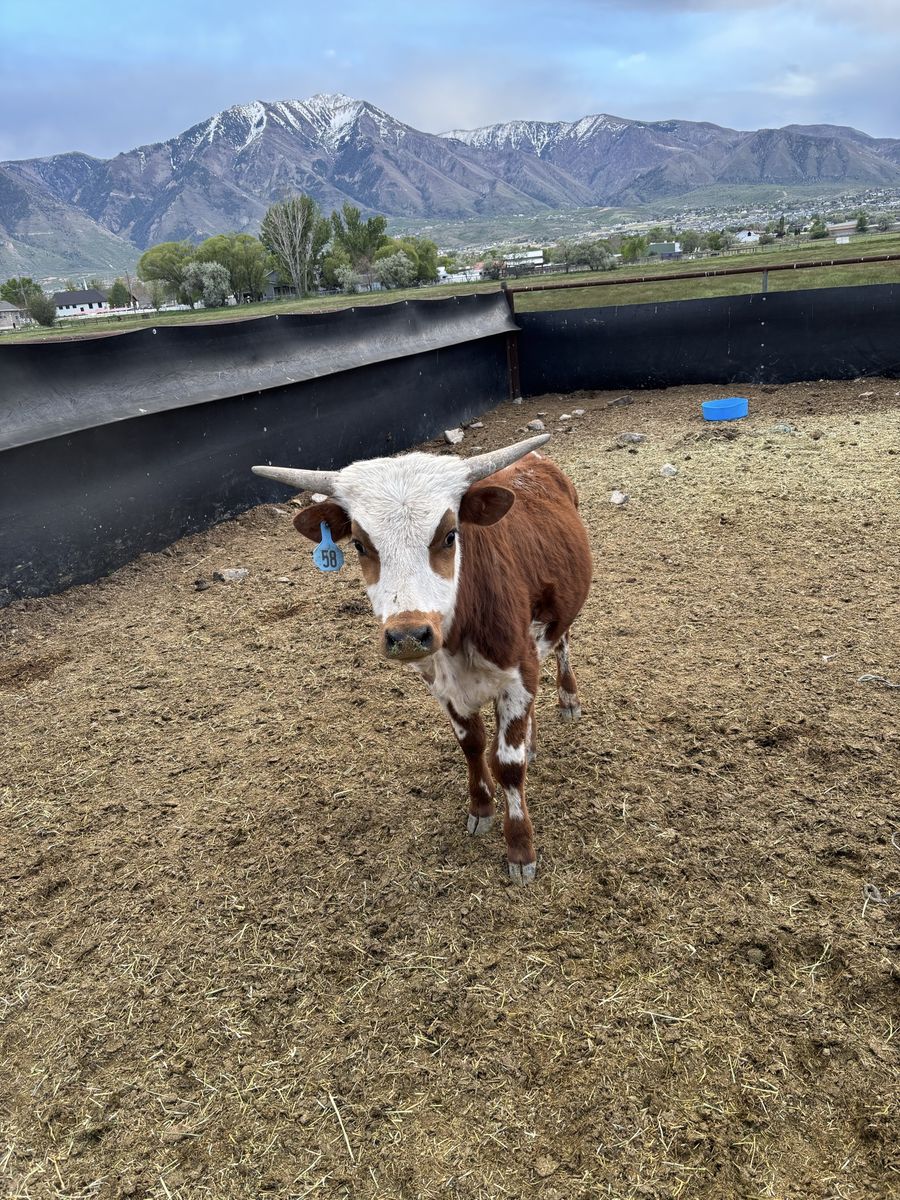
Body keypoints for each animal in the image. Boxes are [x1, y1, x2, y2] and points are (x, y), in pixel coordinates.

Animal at [252, 434, 592, 883]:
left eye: (449, 536)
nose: (409, 635)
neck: (460, 631)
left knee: (563, 644)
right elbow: (472, 745)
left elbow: (508, 763)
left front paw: (520, 848)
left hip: (561, 615)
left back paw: (568, 699)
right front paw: (481, 807)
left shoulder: (518, 675)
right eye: (359, 544)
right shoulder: (443, 685)